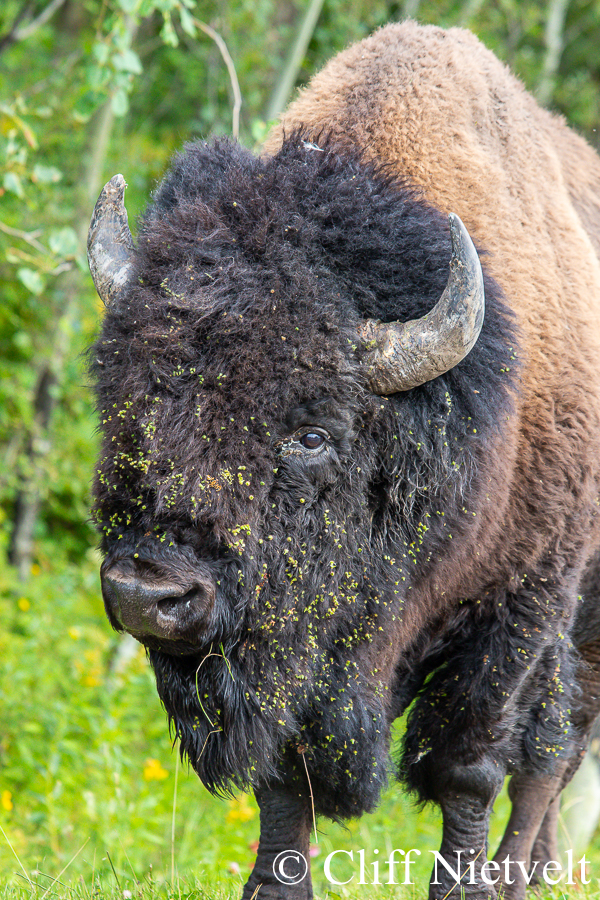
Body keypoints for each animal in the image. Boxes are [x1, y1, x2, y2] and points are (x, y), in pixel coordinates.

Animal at [87, 20, 600, 900]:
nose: (147, 594)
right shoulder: (290, 654)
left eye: (313, 434)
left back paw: (521, 878)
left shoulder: (523, 601)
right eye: (129, 396)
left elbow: (471, 765)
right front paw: (275, 886)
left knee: (551, 752)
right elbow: (285, 776)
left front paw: (464, 888)